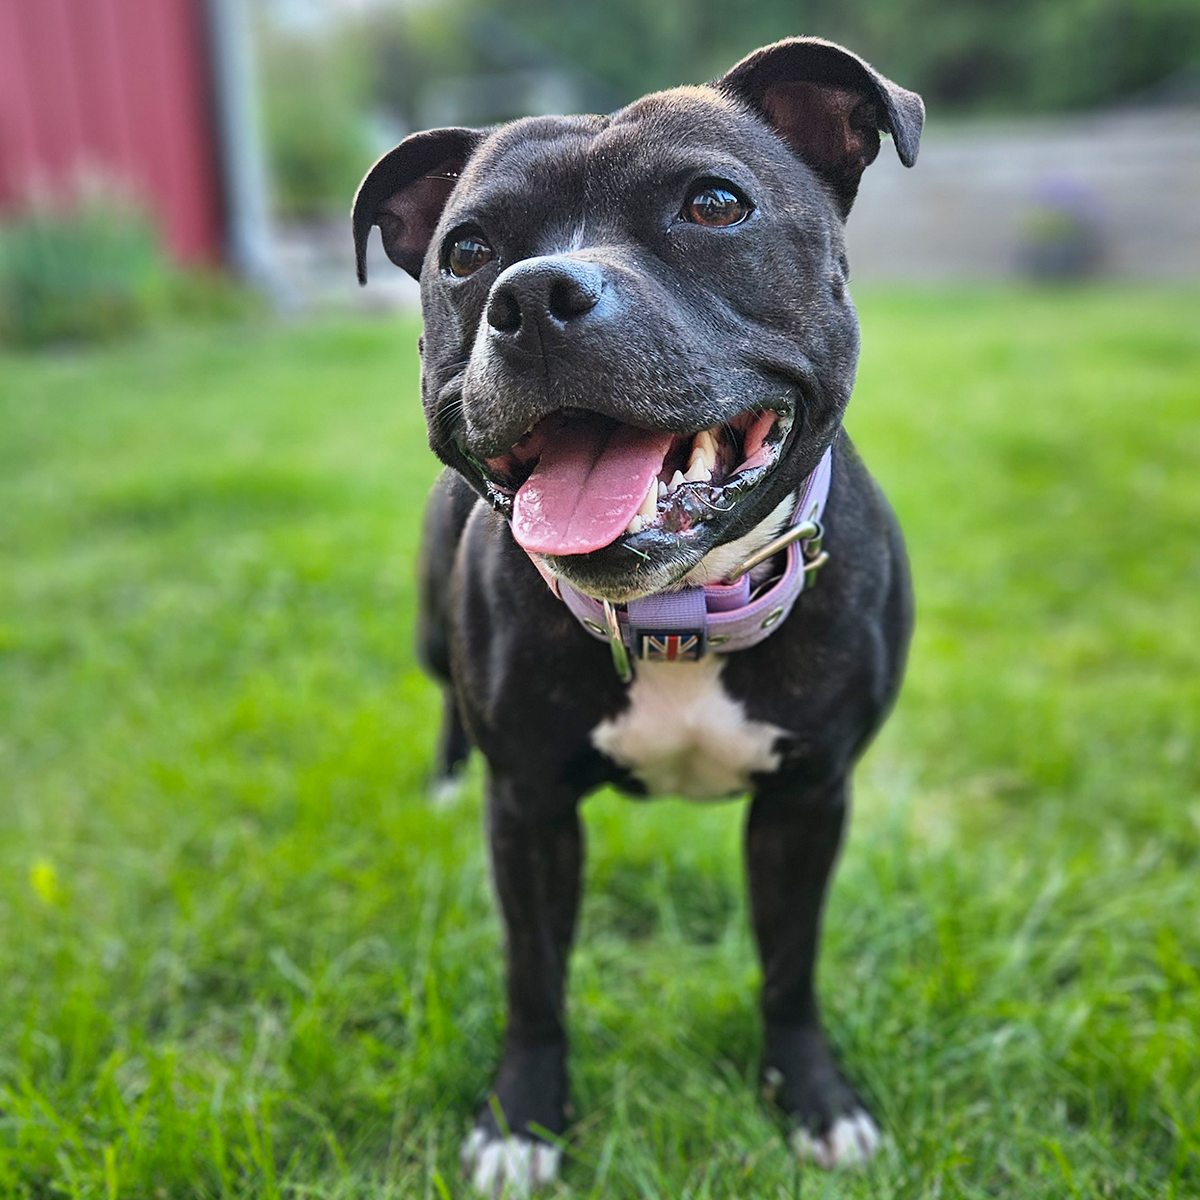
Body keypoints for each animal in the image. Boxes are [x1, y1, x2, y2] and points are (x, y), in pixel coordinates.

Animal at [350, 35, 921, 1190]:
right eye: (467, 251)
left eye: (714, 203)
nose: (534, 295)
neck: (675, 610)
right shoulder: (528, 809)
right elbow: (533, 978)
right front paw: (521, 1122)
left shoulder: (809, 801)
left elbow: (790, 967)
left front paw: (815, 1098)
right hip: (435, 636)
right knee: (445, 705)